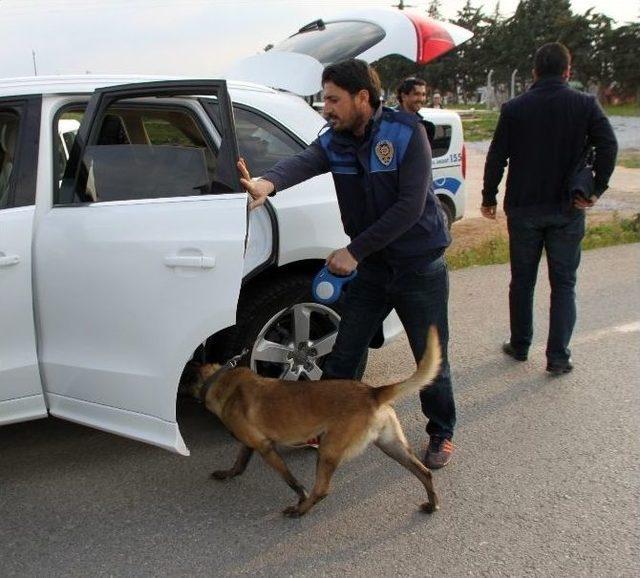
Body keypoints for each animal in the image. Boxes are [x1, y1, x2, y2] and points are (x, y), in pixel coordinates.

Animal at [192, 324, 442, 516]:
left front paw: (300, 495)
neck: (220, 379)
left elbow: (290, 479)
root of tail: (372, 392)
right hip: (390, 445)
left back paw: (300, 510)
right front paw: (228, 474)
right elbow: (239, 464)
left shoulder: (265, 447)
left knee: (322, 490)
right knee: (424, 472)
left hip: (329, 450)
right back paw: (432, 504)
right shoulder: (250, 444)